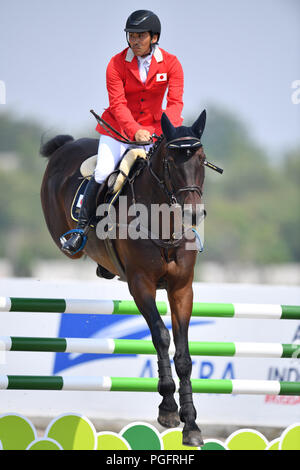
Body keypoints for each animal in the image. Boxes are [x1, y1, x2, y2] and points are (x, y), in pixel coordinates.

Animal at [40, 111, 211, 448]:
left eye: (201, 159)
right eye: (171, 161)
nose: (193, 214)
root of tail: (66, 146)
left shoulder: (182, 289)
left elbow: (183, 354)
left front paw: (191, 424)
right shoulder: (141, 285)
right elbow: (161, 336)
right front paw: (168, 410)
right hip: (64, 241)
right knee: (71, 244)